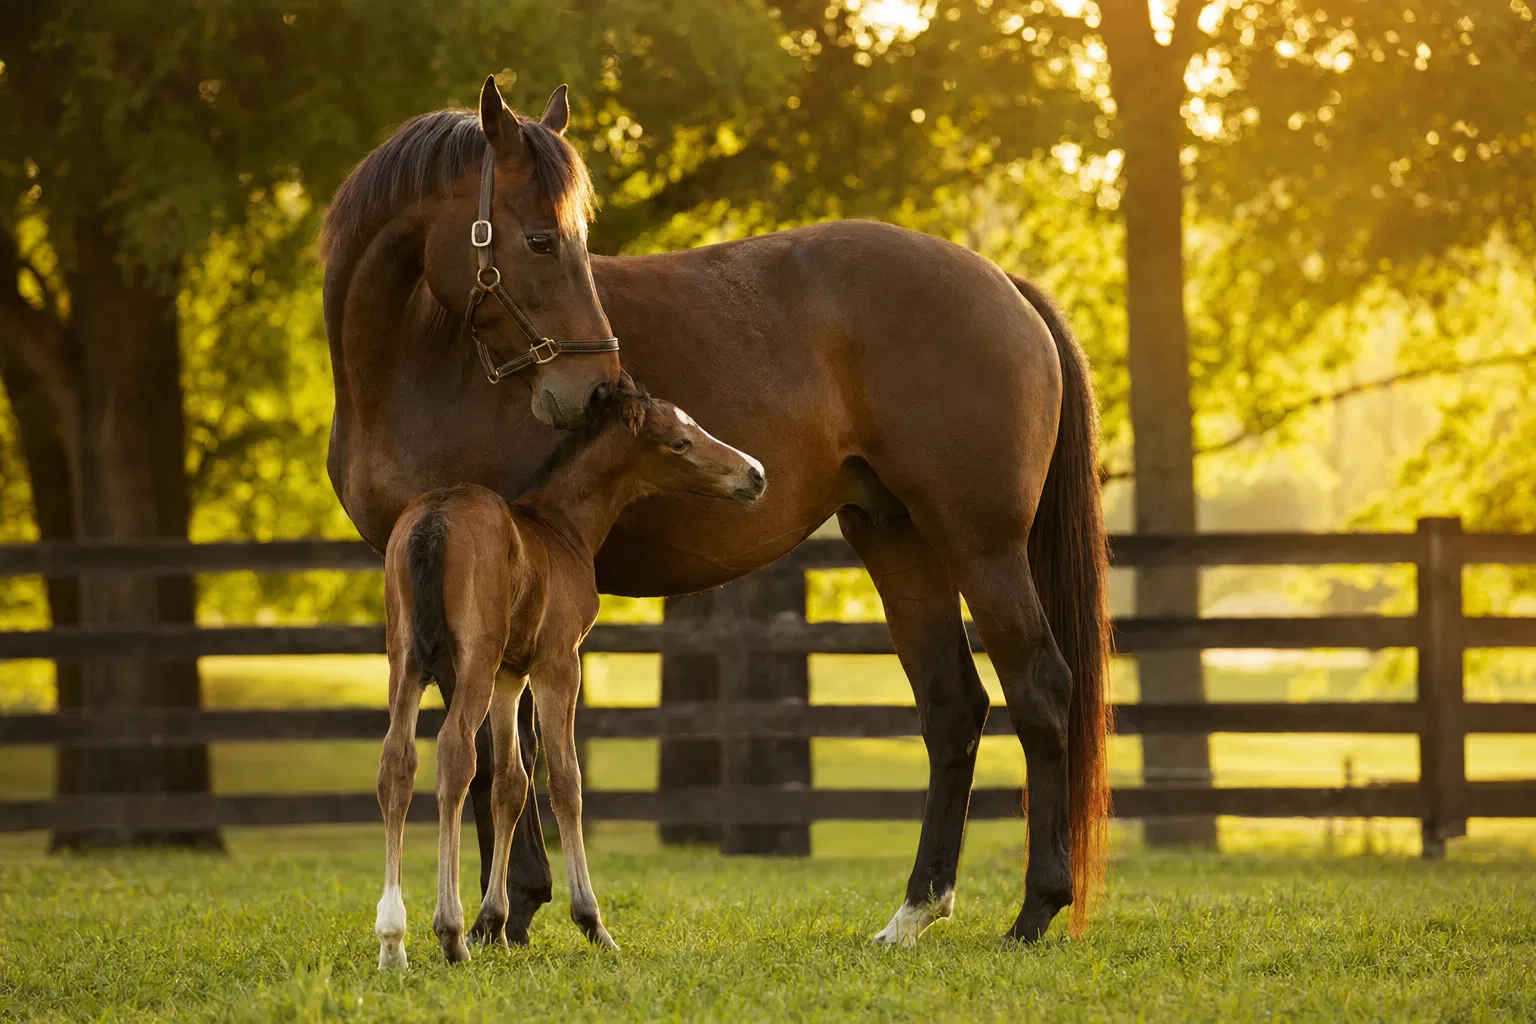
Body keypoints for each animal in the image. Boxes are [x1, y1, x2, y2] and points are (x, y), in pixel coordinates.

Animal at [374, 379, 766, 968]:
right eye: (679, 442)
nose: (755, 473)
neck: (561, 527)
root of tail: (434, 519)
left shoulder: (512, 675)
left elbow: (511, 784)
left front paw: (495, 924)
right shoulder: (559, 662)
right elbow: (565, 779)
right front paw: (592, 923)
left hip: (406, 659)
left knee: (398, 761)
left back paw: (393, 941)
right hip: (473, 661)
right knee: (454, 755)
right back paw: (450, 931)